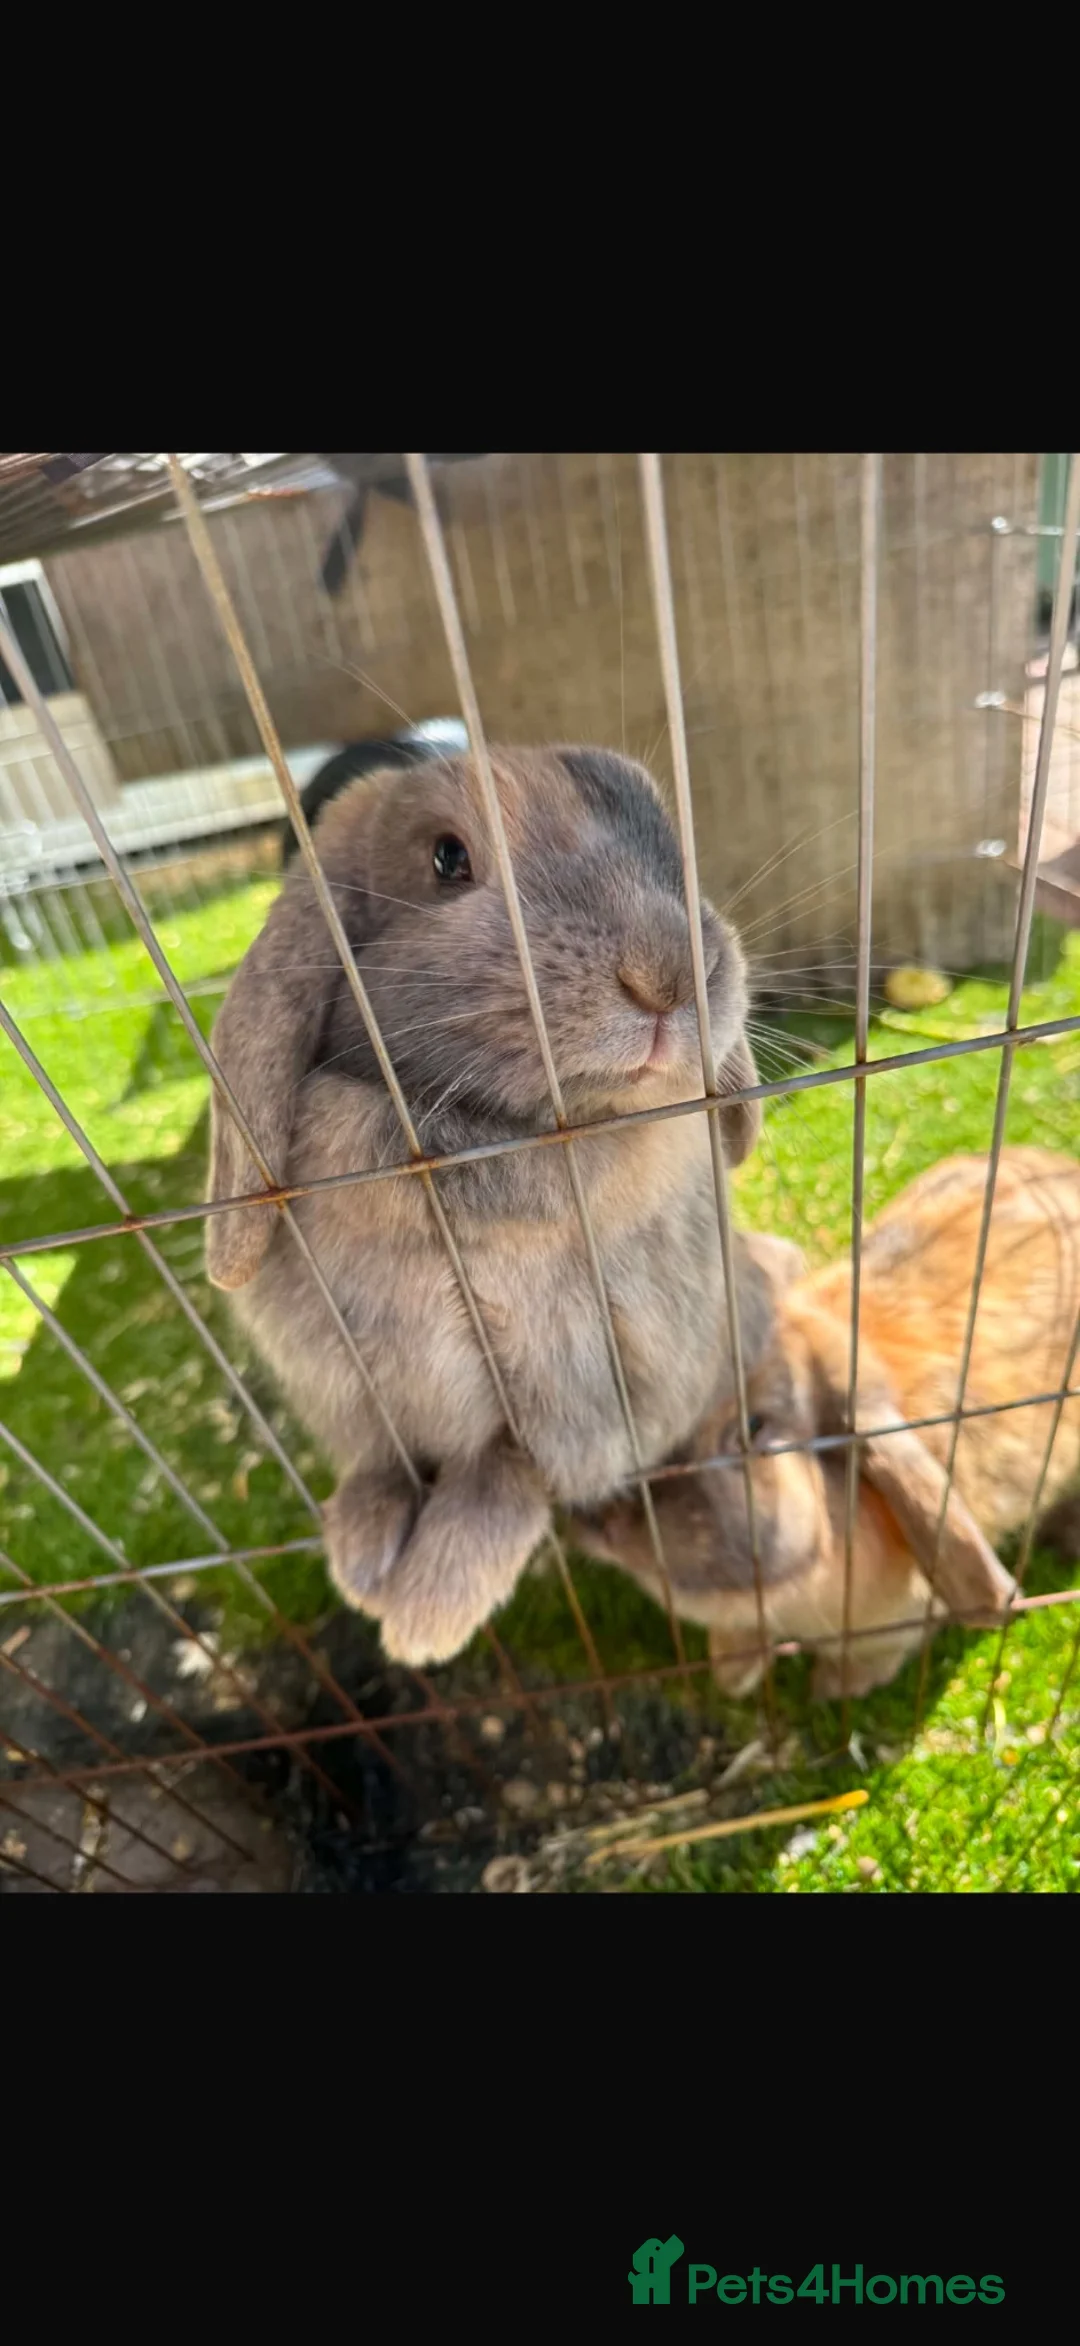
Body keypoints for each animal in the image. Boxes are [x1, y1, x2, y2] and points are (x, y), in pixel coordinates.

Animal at [204, 742, 763, 1668]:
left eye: (672, 841)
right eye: (446, 859)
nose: (668, 972)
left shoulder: (590, 1393)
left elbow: (510, 1473)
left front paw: (420, 1613)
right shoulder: (353, 1388)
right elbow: (386, 1463)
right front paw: (364, 1558)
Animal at [570, 1149, 1080, 1700]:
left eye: (753, 1427)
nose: (600, 1509)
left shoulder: (892, 1628)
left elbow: (872, 1657)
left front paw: (831, 1689)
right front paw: (734, 1671)